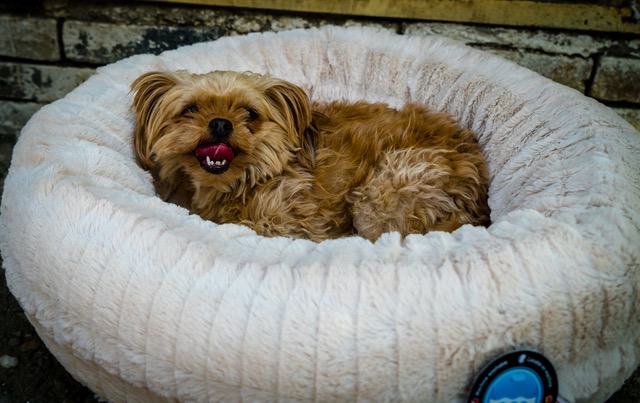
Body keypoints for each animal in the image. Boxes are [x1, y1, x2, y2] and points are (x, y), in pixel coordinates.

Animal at [130, 70, 490, 243]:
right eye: (190, 109)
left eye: (250, 113)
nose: (220, 123)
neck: (246, 181)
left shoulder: (288, 222)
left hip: (381, 194)